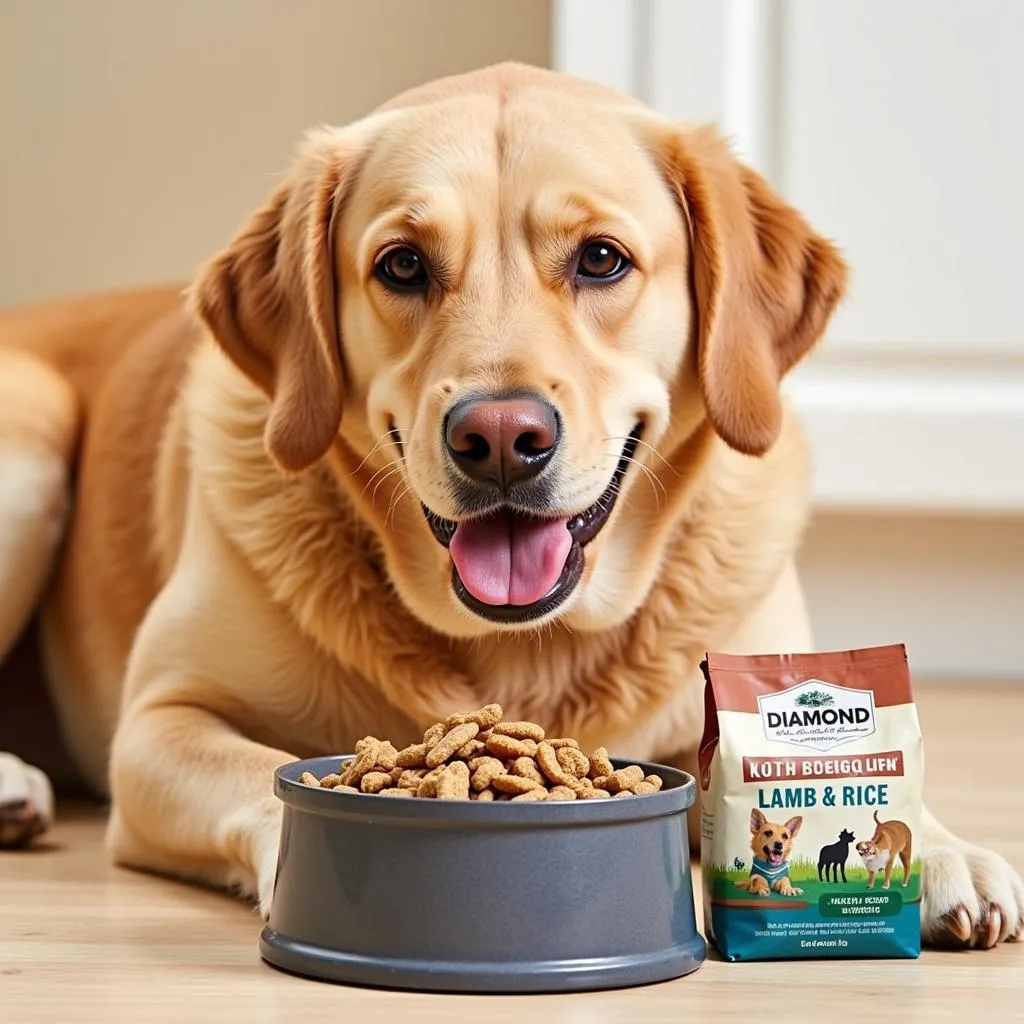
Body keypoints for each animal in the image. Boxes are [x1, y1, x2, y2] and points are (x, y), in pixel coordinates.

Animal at [0, 59, 1019, 946]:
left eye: (602, 259)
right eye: (402, 265)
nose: (498, 438)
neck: (523, 648)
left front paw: (944, 855)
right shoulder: (158, 726)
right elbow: (261, 771)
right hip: (32, 434)